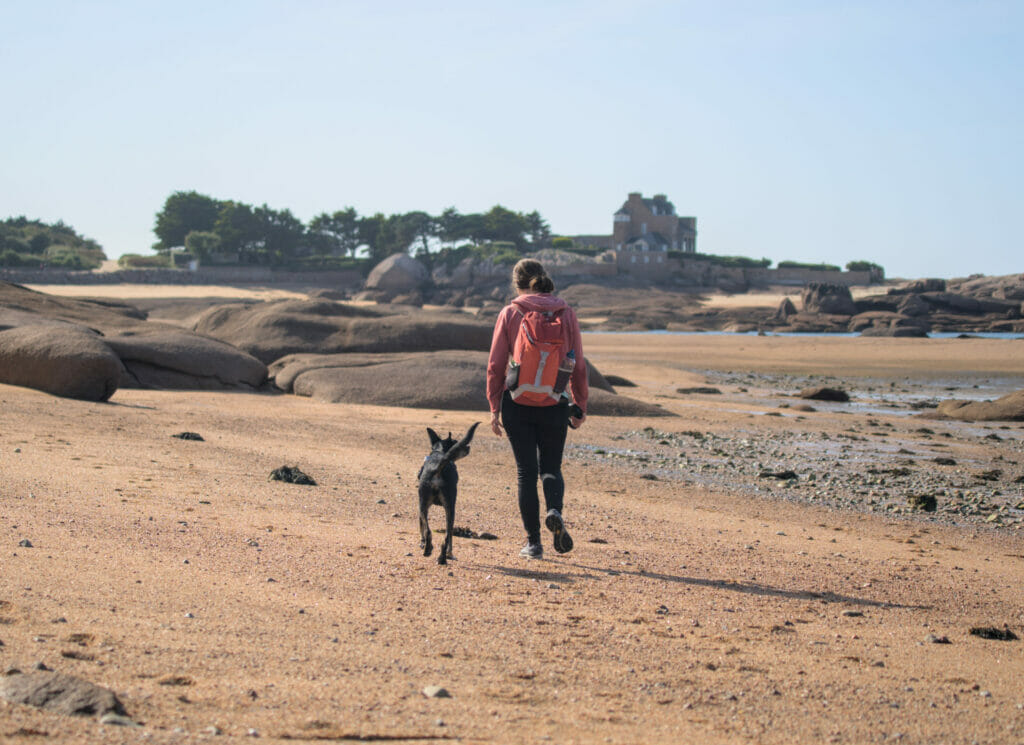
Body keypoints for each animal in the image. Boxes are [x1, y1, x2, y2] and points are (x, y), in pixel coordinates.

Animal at [415, 421, 479, 560]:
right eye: (456, 442)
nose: (468, 447)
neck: (439, 452)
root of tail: (437, 467)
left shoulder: (421, 507)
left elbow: (421, 526)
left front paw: (422, 543)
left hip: (423, 504)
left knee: (428, 531)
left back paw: (428, 549)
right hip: (450, 508)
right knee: (448, 535)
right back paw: (446, 555)